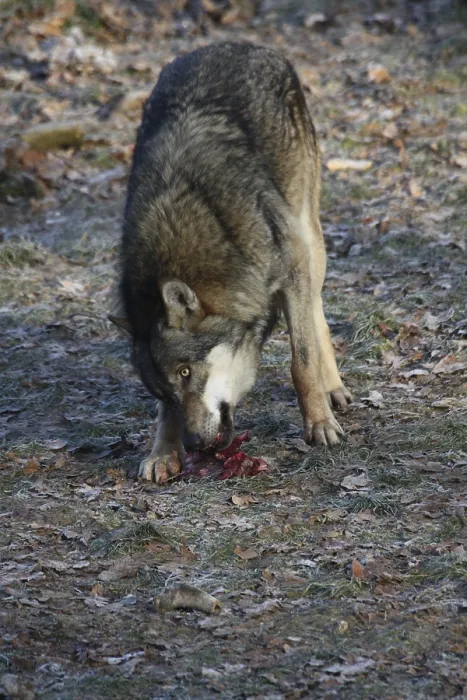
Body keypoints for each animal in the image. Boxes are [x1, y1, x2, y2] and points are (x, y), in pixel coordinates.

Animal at [110, 41, 352, 484]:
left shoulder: (291, 271)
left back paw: (332, 390)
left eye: (186, 372)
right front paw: (162, 452)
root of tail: (239, 44)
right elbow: (162, 416)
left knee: (316, 314)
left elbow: (301, 360)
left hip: (308, 239)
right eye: (163, 389)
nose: (193, 445)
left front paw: (319, 423)